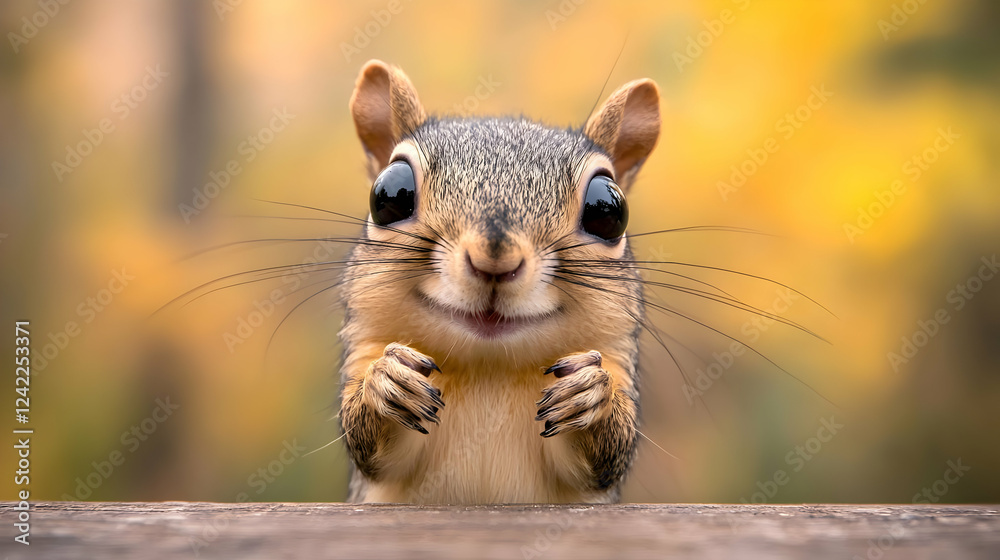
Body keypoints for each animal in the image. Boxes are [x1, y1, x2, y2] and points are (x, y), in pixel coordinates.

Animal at [338, 59, 660, 504]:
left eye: (609, 210)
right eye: (388, 194)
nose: (494, 260)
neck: (489, 368)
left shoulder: (615, 354)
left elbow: (609, 453)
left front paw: (593, 393)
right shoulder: (367, 343)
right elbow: (369, 444)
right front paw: (386, 382)